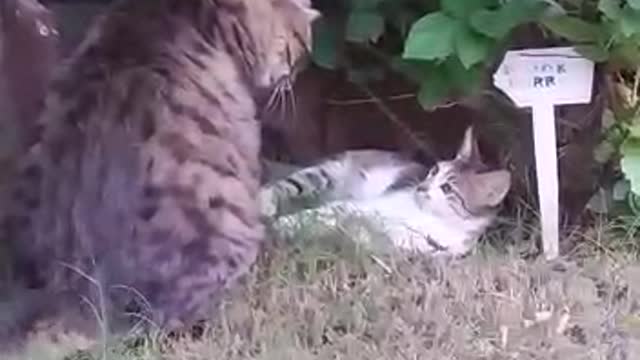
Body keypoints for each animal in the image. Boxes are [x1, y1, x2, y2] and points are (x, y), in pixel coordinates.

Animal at [260, 126, 510, 256]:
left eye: (447, 188)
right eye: (434, 170)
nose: (421, 187)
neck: (428, 217)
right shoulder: (362, 206)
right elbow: (323, 214)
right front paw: (287, 224)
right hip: (324, 174)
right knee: (284, 187)